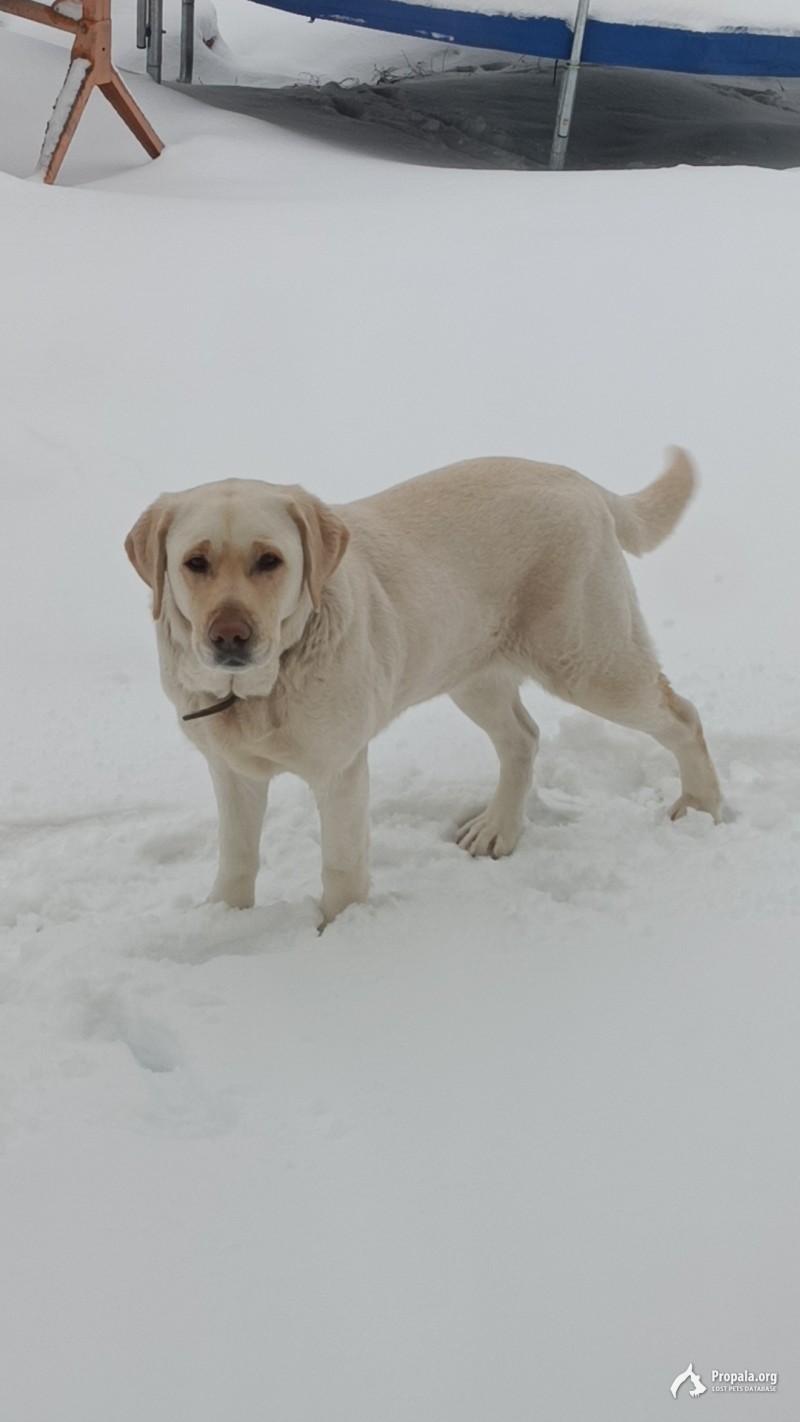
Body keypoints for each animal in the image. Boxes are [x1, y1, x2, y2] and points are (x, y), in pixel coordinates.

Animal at [128, 449, 721, 927]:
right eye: (195, 562)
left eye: (269, 561)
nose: (230, 635)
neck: (255, 691)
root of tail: (574, 477)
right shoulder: (230, 770)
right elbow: (237, 856)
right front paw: (223, 918)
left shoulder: (341, 771)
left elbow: (341, 864)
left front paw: (338, 933)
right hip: (471, 672)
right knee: (523, 738)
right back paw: (497, 829)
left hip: (589, 663)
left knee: (684, 714)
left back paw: (702, 806)